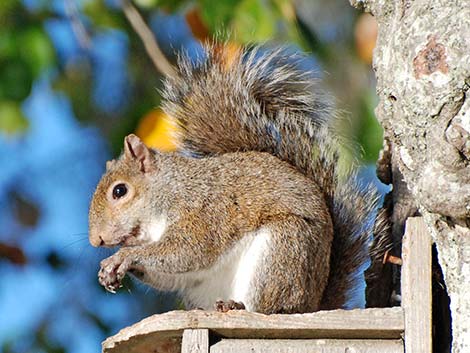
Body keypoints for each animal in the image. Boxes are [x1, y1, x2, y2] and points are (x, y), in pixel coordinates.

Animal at [89, 45, 386, 312]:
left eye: (119, 191)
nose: (96, 241)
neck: (169, 189)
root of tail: (314, 305)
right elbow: (171, 274)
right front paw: (110, 270)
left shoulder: (203, 211)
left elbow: (188, 250)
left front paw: (124, 257)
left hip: (283, 251)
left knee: (270, 307)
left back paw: (239, 306)